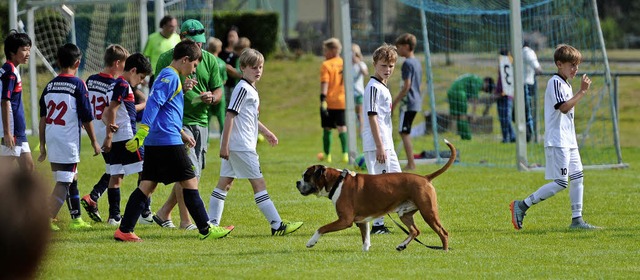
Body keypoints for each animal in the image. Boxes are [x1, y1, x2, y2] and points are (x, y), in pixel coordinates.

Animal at [296, 140, 456, 252]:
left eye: (306, 176)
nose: (297, 182)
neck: (337, 181)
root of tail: (425, 178)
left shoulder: (345, 220)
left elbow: (322, 228)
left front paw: (311, 242)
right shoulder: (362, 221)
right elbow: (365, 237)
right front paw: (365, 250)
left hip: (428, 212)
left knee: (443, 232)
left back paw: (444, 250)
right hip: (405, 214)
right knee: (415, 231)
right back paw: (402, 245)